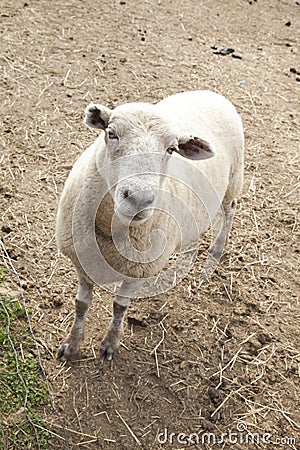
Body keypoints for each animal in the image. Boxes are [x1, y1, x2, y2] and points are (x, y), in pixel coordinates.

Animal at [56, 91, 244, 362]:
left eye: (171, 149)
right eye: (111, 133)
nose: (139, 199)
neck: (113, 232)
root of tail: (211, 93)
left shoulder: (139, 271)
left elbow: (120, 306)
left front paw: (110, 344)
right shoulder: (81, 261)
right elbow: (81, 304)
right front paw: (71, 345)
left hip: (233, 181)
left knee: (230, 210)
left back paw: (217, 248)